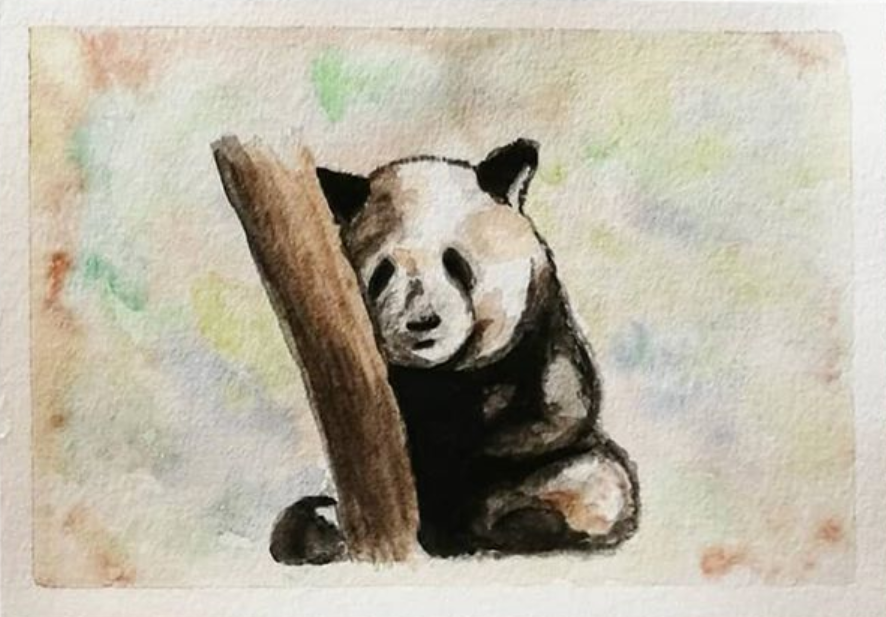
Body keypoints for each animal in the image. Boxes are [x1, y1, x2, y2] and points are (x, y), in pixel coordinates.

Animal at [270, 139, 639, 564]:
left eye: (455, 263)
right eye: (383, 273)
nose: (423, 322)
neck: (439, 372)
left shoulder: (541, 331)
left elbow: (557, 411)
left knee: (600, 486)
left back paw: (510, 522)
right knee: (299, 521)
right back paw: (318, 530)